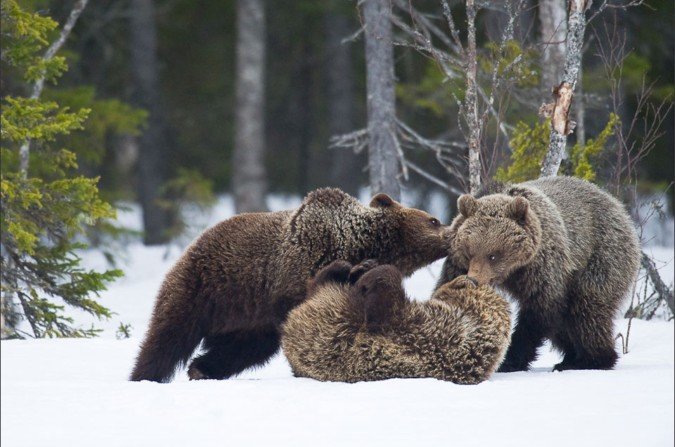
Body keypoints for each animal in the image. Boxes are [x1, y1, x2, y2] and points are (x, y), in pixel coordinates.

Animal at [129, 188, 452, 382]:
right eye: (433, 220)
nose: (450, 232)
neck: (357, 241)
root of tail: (191, 245)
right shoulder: (298, 264)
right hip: (204, 285)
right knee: (168, 335)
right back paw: (146, 374)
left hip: (249, 317)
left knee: (245, 348)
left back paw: (202, 368)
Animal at [282, 260, 512, 384]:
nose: (469, 278)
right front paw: (362, 270)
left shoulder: (429, 337)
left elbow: (383, 308)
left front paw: (368, 277)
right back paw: (350, 267)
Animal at [436, 177, 640, 372]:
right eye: (469, 252)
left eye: (493, 255)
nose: (474, 279)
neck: (514, 271)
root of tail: (617, 206)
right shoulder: (456, 263)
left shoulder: (543, 266)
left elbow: (540, 310)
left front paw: (509, 361)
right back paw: (571, 358)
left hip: (601, 257)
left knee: (587, 310)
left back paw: (591, 360)